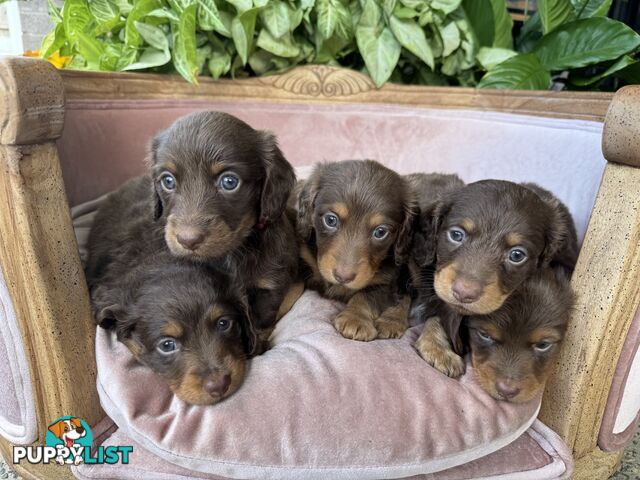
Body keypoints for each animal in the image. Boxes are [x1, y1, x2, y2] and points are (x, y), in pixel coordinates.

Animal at [85, 110, 300, 346]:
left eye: (229, 181)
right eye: (168, 181)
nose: (188, 240)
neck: (230, 254)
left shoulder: (268, 287)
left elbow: (260, 324)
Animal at [294, 159, 416, 340]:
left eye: (380, 232)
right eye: (330, 220)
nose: (343, 277)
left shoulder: (387, 280)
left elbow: (365, 295)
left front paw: (355, 319)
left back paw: (392, 321)